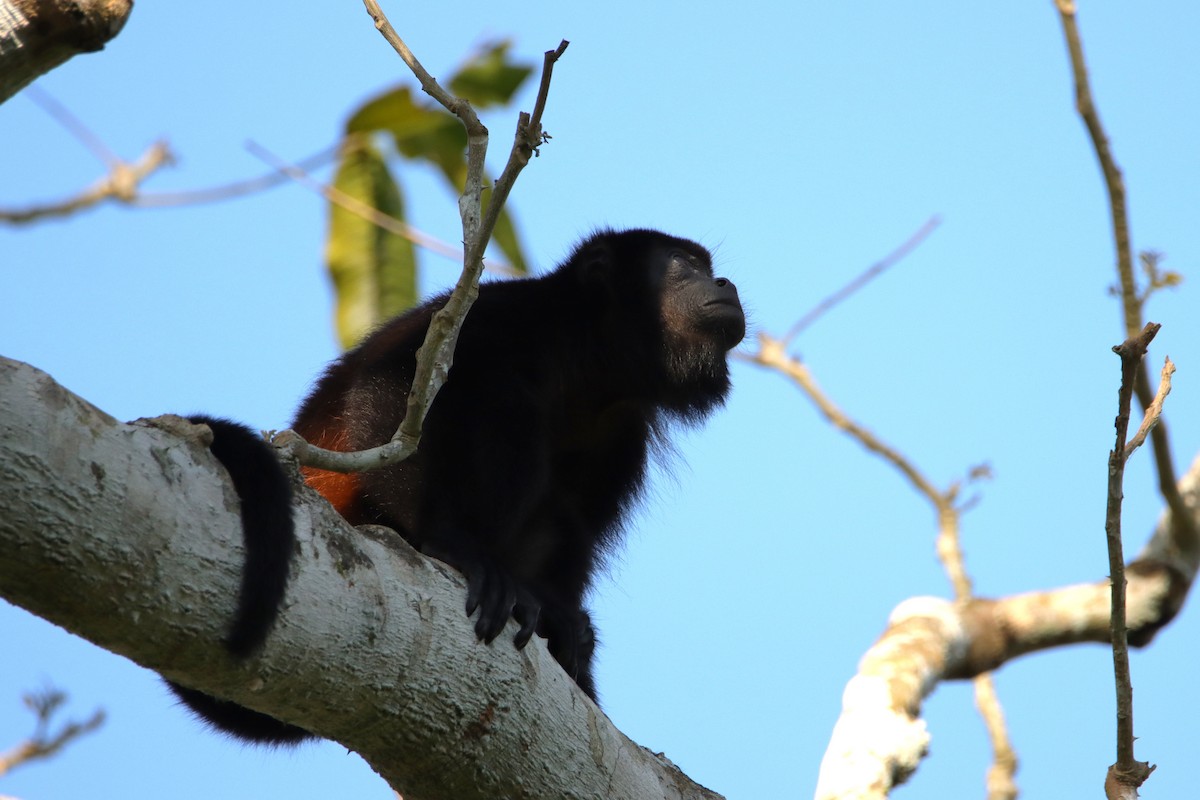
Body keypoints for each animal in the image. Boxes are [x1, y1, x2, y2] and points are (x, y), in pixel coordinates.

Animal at [171, 228, 745, 744]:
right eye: (682, 264)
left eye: (706, 265)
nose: (725, 282)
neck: (587, 364)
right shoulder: (500, 318)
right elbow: (391, 389)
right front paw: (446, 544)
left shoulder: (623, 429)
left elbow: (584, 520)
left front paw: (567, 622)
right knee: (503, 409)